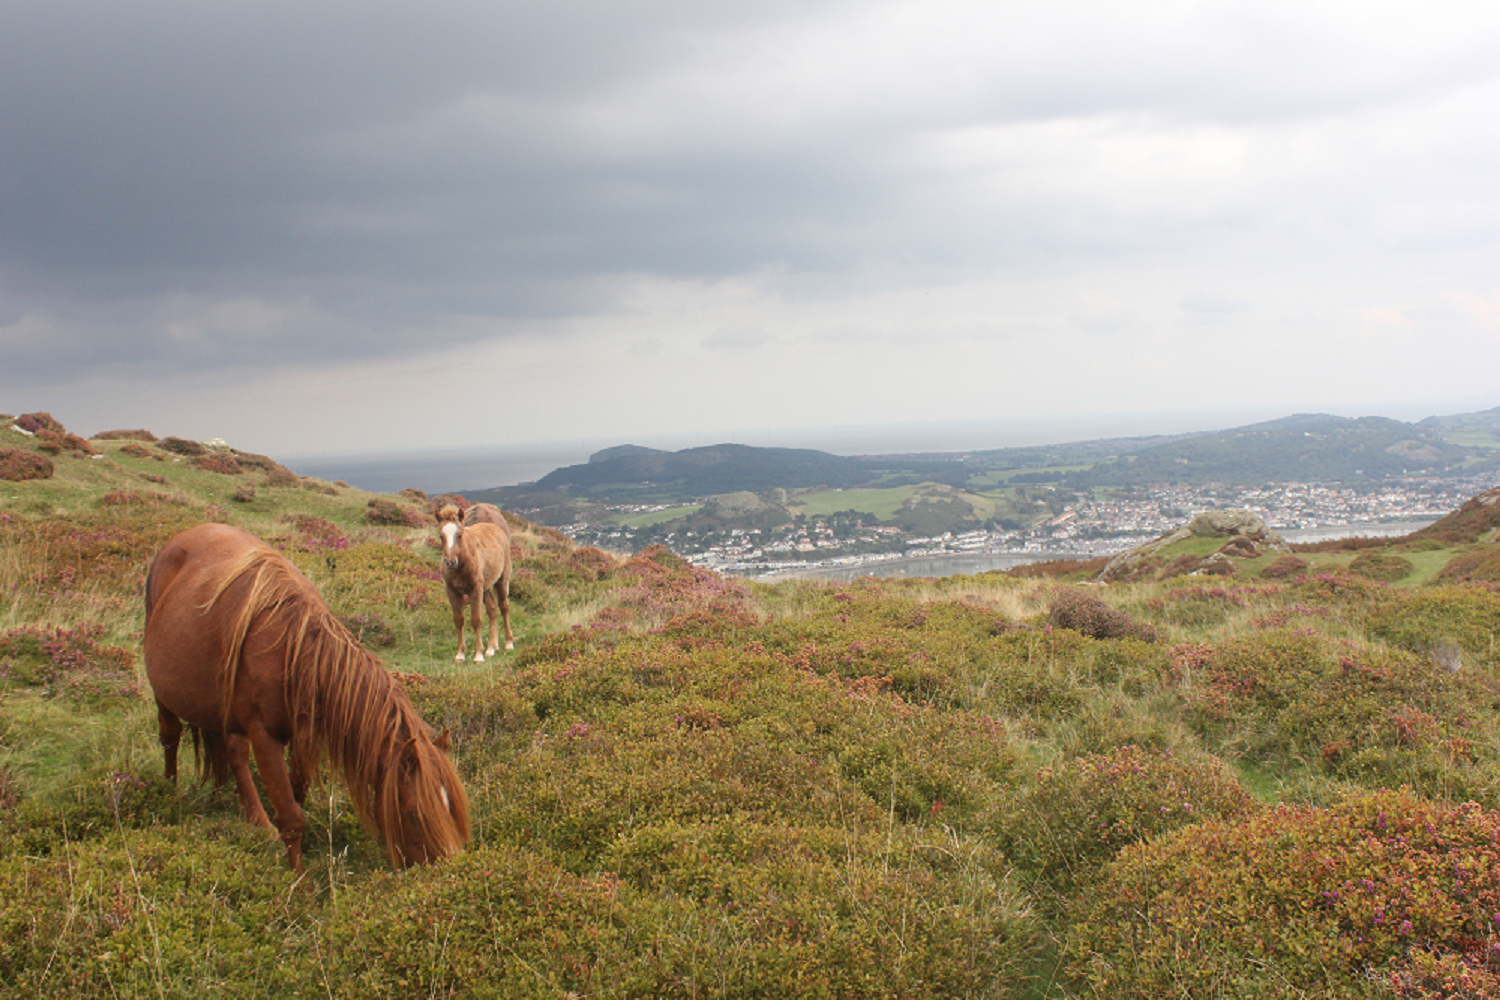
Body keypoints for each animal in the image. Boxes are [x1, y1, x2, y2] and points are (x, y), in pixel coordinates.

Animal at [141, 524, 468, 875]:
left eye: (451, 807)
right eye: (414, 813)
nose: (450, 870)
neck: (295, 655)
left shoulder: (302, 734)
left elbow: (296, 798)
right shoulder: (265, 737)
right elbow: (290, 817)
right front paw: (300, 882)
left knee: (232, 752)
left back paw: (251, 816)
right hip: (165, 694)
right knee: (170, 735)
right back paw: (169, 792)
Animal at [438, 503, 519, 659]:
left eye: (459, 535)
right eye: (441, 536)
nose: (450, 562)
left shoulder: (475, 589)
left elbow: (476, 620)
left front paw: (478, 655)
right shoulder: (451, 590)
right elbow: (458, 620)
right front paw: (460, 654)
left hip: (501, 580)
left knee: (503, 607)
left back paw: (508, 643)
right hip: (486, 587)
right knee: (492, 609)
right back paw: (492, 647)